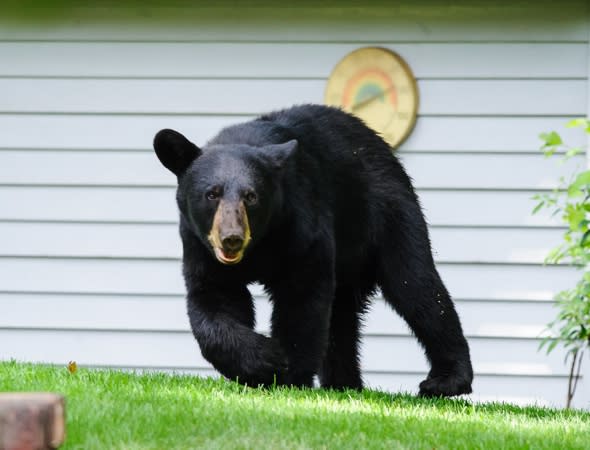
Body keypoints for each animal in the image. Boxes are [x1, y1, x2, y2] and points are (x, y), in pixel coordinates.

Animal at [154, 104, 476, 398]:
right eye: (212, 194)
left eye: (251, 196)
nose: (231, 238)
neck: (260, 244)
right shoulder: (199, 247)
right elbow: (213, 300)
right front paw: (261, 361)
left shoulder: (302, 225)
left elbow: (303, 296)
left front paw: (286, 373)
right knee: (341, 320)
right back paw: (344, 384)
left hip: (388, 214)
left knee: (416, 286)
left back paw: (445, 380)